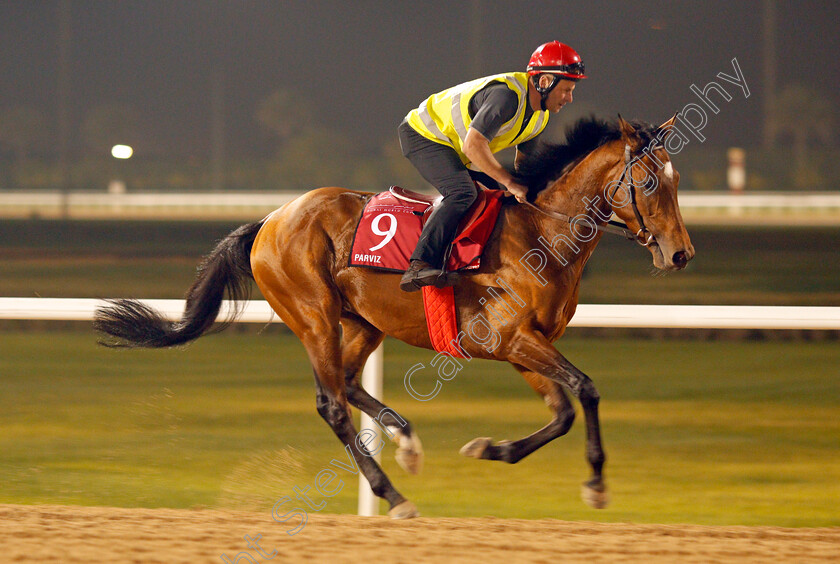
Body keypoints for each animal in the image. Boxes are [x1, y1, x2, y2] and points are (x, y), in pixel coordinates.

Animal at [93, 114, 696, 520]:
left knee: (349, 383)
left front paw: (492, 449)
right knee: (331, 403)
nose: (680, 254)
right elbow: (586, 389)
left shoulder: (523, 344)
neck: (543, 233)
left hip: (364, 322)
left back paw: (404, 440)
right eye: (648, 182)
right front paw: (596, 484)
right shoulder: (510, 338)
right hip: (312, 314)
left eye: (677, 180)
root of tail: (270, 219)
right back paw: (395, 495)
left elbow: (564, 410)